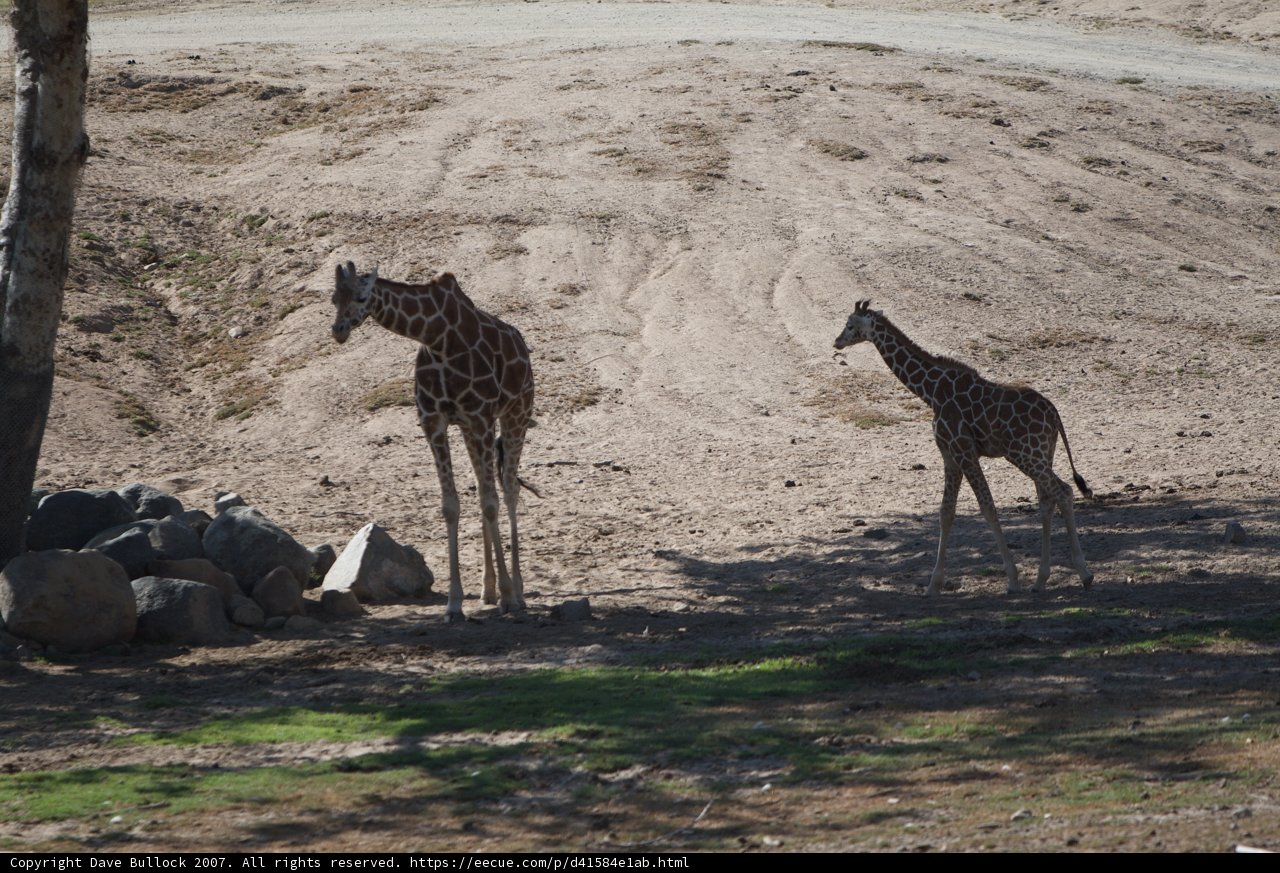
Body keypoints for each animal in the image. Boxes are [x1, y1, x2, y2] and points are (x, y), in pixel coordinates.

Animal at [331, 261, 535, 622]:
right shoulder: (436, 422)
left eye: (361, 296)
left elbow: (491, 502)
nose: (339, 329)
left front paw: (509, 597)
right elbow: (451, 505)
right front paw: (454, 605)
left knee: (508, 489)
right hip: (471, 430)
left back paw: (517, 592)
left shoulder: (481, 416)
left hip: (517, 413)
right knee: (485, 488)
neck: (438, 338)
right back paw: (488, 590)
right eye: (333, 299)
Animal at [834, 300, 1093, 595]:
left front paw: (1012, 580)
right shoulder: (949, 454)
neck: (930, 391)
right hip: (1041, 454)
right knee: (1047, 501)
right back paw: (1041, 580)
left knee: (1063, 491)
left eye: (850, 325)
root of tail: (1054, 414)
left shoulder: (963, 450)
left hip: (1026, 455)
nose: (837, 341)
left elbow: (987, 508)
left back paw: (1084, 573)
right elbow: (946, 512)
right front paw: (933, 585)